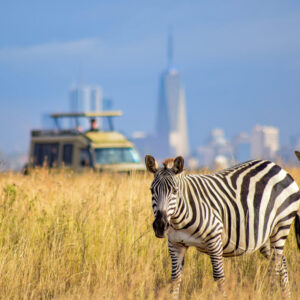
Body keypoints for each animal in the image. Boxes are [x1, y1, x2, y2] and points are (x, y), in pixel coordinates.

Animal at [145, 156, 300, 298]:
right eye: (152, 190)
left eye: (174, 191)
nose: (160, 226)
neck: (179, 220)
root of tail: (277, 167)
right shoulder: (175, 245)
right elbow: (175, 280)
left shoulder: (214, 239)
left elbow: (219, 278)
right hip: (264, 235)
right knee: (281, 261)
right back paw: (286, 295)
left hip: (281, 225)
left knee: (275, 266)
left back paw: (271, 294)